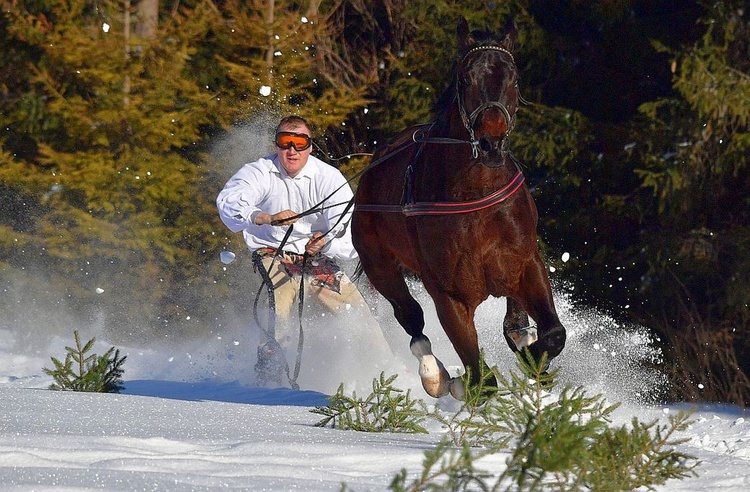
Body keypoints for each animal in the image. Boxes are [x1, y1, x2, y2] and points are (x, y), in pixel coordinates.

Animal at [356, 17, 568, 398]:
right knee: (410, 318)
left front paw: (533, 357)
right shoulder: (450, 295)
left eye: (514, 77)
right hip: (378, 264)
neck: (476, 198)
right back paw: (435, 374)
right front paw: (462, 382)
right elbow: (482, 380)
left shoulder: (525, 265)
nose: (490, 142)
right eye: (466, 78)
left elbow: (553, 334)